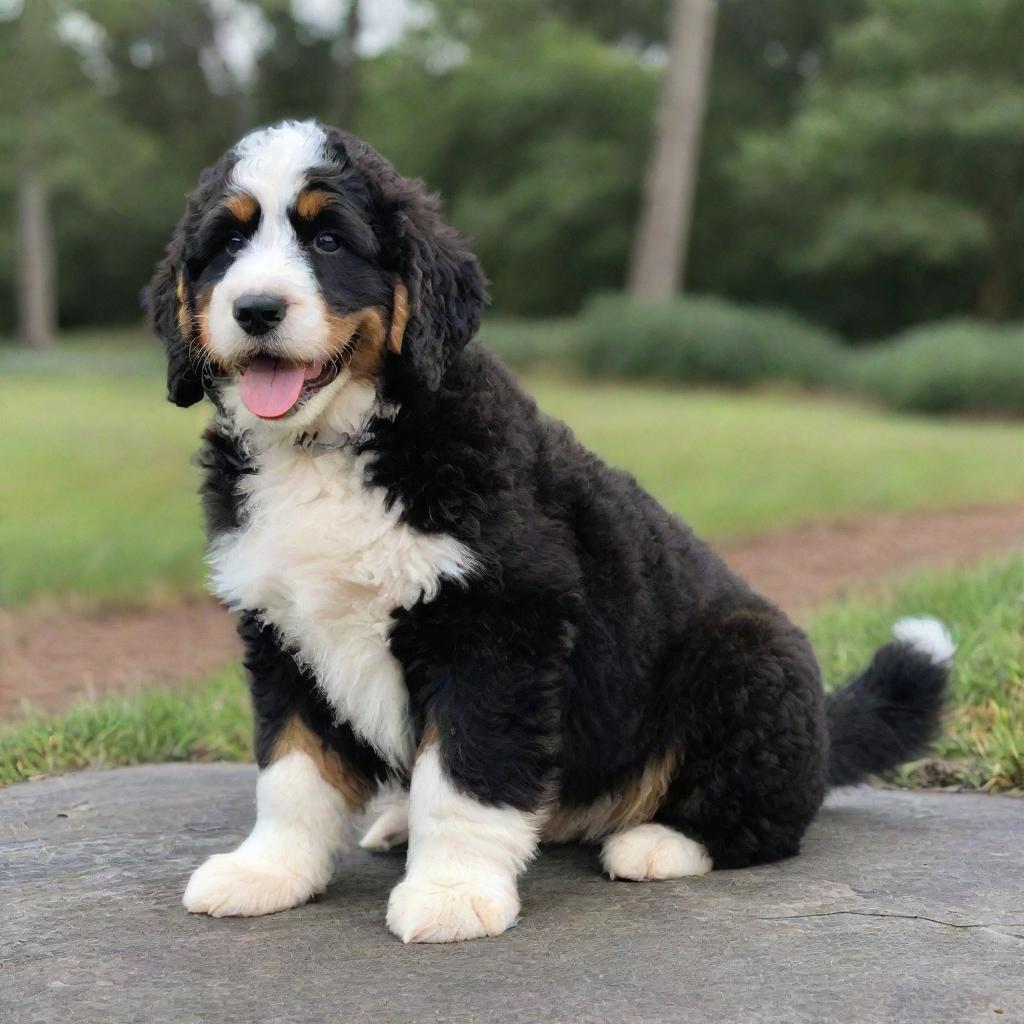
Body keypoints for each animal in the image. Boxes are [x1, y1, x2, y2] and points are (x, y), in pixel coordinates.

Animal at [144, 119, 950, 942]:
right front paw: (267, 871)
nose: (255, 309)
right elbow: (292, 770)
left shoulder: (499, 623)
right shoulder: (283, 630)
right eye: (227, 245)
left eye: (330, 240)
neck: (336, 445)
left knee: (767, 820)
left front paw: (452, 891)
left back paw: (660, 843)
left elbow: (465, 771)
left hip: (745, 658)